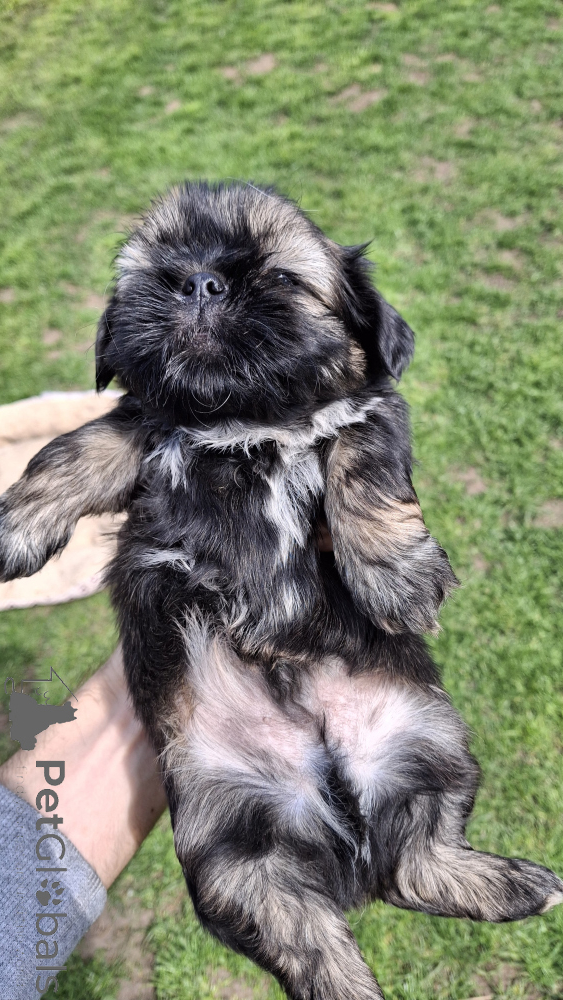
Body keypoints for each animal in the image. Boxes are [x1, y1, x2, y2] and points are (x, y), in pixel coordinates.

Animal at [0, 182, 561, 1000]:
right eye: (156, 268)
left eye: (281, 278)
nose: (199, 282)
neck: (243, 419)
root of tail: (335, 817)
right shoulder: (145, 423)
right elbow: (77, 448)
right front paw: (14, 528)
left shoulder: (371, 416)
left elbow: (360, 461)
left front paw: (396, 575)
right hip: (231, 857)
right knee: (321, 934)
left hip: (433, 745)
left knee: (417, 858)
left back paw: (518, 883)